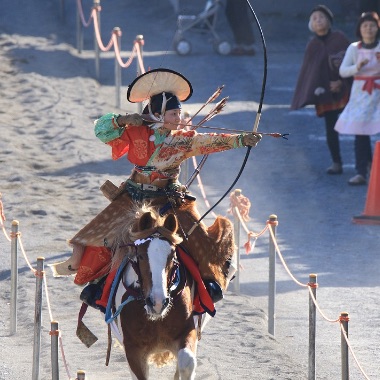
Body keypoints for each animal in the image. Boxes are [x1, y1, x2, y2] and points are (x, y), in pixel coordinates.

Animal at [107, 205, 236, 380]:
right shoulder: (133, 348)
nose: (158, 302)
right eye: (140, 255)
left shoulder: (187, 332)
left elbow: (186, 363)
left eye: (173, 256)